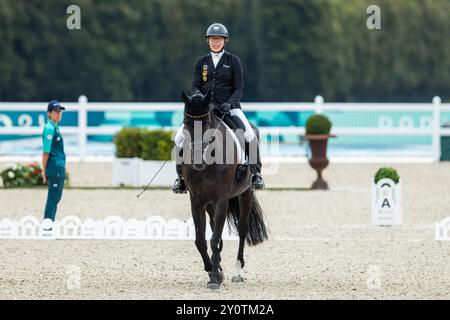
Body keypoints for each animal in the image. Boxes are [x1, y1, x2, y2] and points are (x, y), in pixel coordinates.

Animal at [179, 90, 268, 290]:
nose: (197, 161)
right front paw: (214, 272)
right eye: (186, 121)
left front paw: (213, 278)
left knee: (242, 230)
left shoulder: (221, 199)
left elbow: (214, 239)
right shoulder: (197, 201)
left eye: (206, 122)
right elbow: (201, 240)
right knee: (214, 229)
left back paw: (237, 272)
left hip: (245, 193)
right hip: (210, 204)